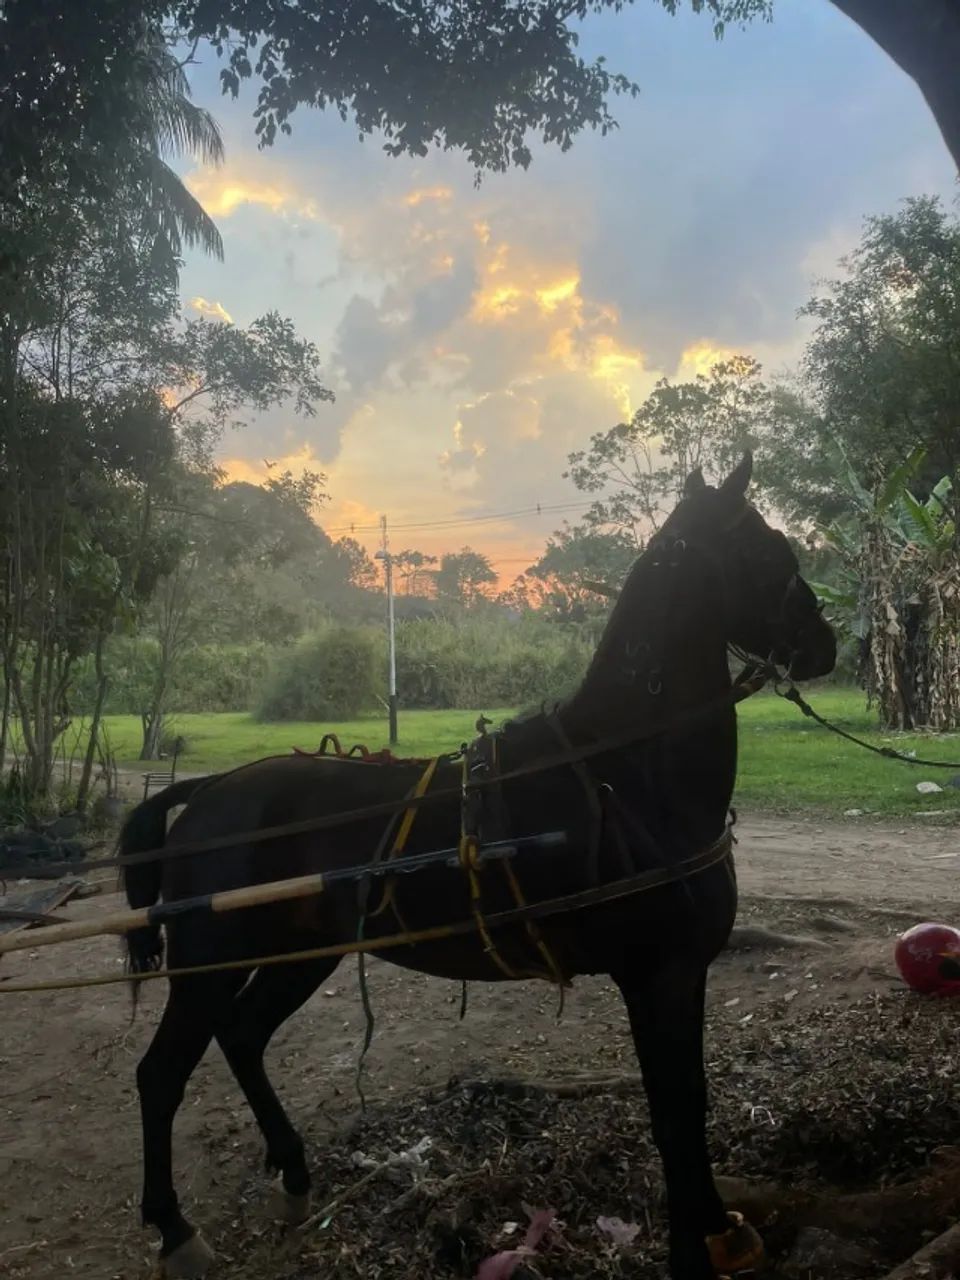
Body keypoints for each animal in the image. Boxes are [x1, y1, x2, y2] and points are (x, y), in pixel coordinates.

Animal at [119, 453, 836, 1279]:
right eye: (767, 552)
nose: (826, 643)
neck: (629, 770)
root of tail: (208, 792)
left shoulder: (683, 973)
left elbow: (693, 1099)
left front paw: (720, 1226)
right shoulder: (656, 974)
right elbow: (672, 1111)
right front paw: (693, 1247)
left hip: (302, 952)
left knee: (242, 1036)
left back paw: (294, 1176)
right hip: (208, 964)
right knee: (161, 1074)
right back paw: (175, 1227)